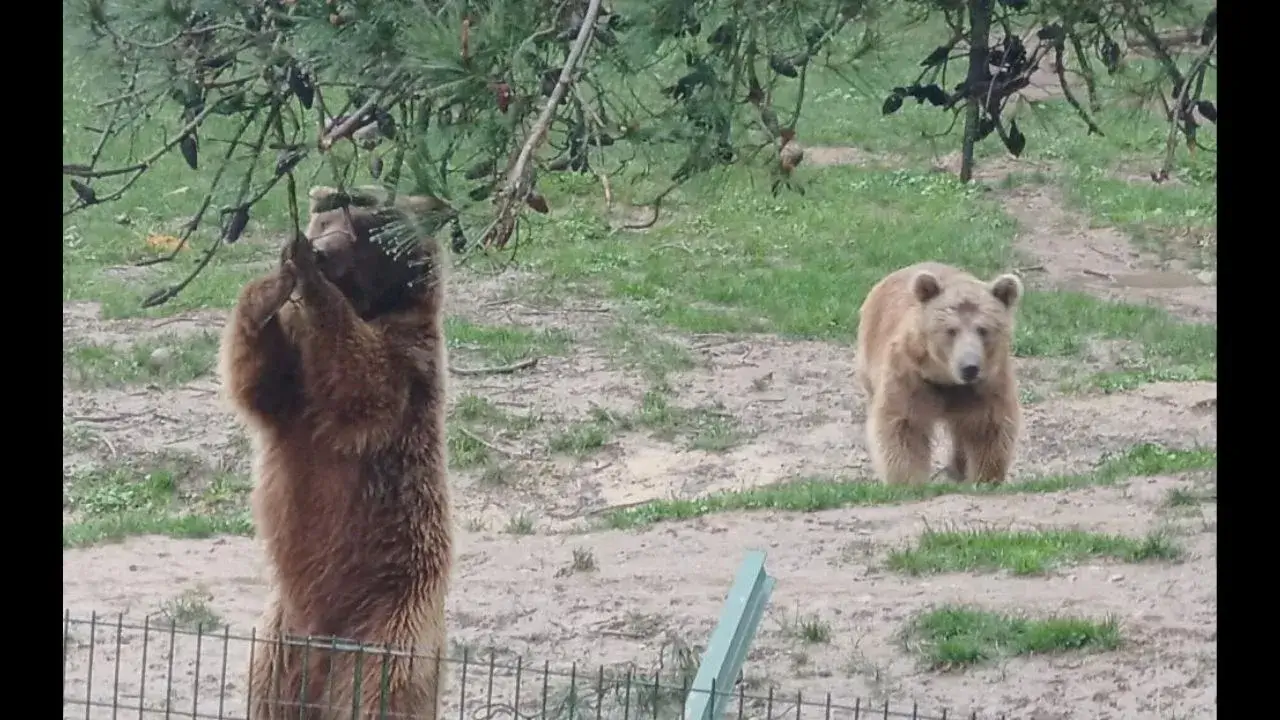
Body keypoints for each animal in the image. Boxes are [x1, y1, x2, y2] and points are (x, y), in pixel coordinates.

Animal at [220, 184, 455, 717]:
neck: (372, 303)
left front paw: (309, 278)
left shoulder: (409, 358)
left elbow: (360, 379)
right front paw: (274, 281)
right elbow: (257, 379)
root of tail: (324, 656)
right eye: (325, 220)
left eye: (359, 230)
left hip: (392, 623)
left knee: (383, 689)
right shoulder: (294, 390)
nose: (321, 250)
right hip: (278, 641)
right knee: (267, 693)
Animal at [855, 260, 1024, 484]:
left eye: (983, 329)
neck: (946, 380)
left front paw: (985, 477)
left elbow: (988, 429)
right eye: (951, 330)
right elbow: (904, 426)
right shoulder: (911, 376)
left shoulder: (987, 384)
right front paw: (908, 480)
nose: (969, 368)